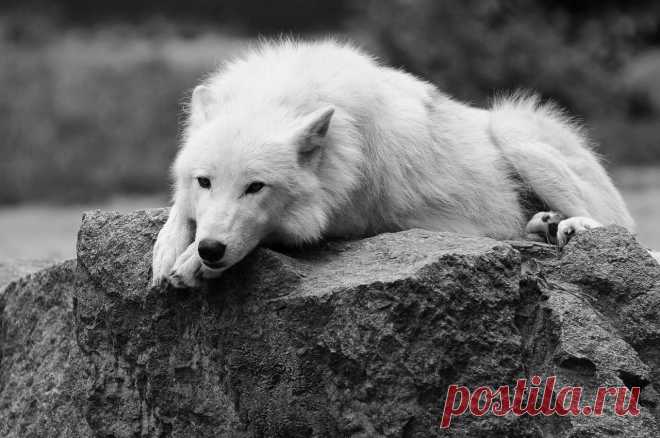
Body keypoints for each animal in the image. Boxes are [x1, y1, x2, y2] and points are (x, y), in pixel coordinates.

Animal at [151, 39, 634, 288]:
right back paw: (543, 225)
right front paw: (168, 250)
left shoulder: (343, 218)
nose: (211, 248)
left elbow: (271, 233)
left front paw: (191, 263)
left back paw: (569, 227)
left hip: (514, 134)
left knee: (612, 227)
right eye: (204, 181)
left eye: (255, 187)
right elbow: (178, 211)